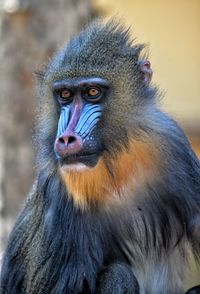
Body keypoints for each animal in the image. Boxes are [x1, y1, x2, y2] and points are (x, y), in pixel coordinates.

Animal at [0, 20, 200, 294]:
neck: (116, 162)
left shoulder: (174, 144)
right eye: (65, 95)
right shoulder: (60, 191)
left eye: (92, 92)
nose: (67, 138)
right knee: (119, 273)